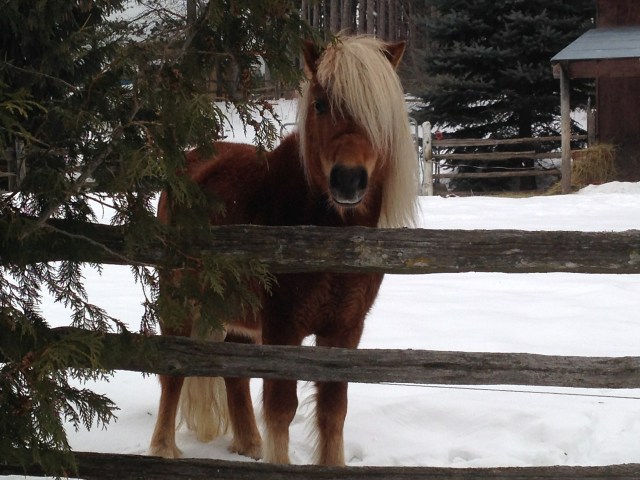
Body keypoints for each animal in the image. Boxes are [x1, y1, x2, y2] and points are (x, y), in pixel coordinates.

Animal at [149, 35, 417, 466]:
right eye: (320, 104)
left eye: (379, 113)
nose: (348, 180)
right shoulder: (282, 326)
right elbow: (280, 407)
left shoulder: (345, 330)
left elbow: (333, 410)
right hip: (179, 299)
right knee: (173, 373)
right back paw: (164, 449)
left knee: (235, 375)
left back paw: (249, 445)